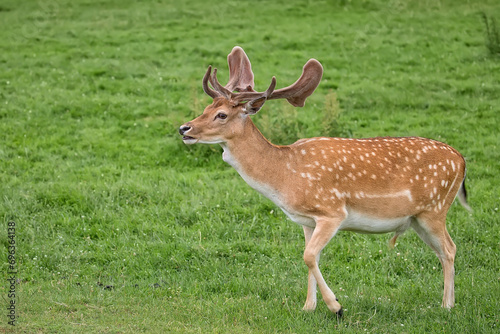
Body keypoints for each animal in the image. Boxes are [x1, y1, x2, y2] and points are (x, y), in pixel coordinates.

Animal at [179, 45, 468, 314]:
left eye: (222, 115)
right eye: (206, 108)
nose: (184, 128)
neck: (284, 177)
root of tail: (462, 160)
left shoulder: (332, 212)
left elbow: (308, 256)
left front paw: (336, 306)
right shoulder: (306, 220)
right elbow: (310, 257)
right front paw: (309, 307)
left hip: (435, 209)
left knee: (450, 248)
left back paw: (447, 305)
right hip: (417, 219)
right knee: (443, 251)